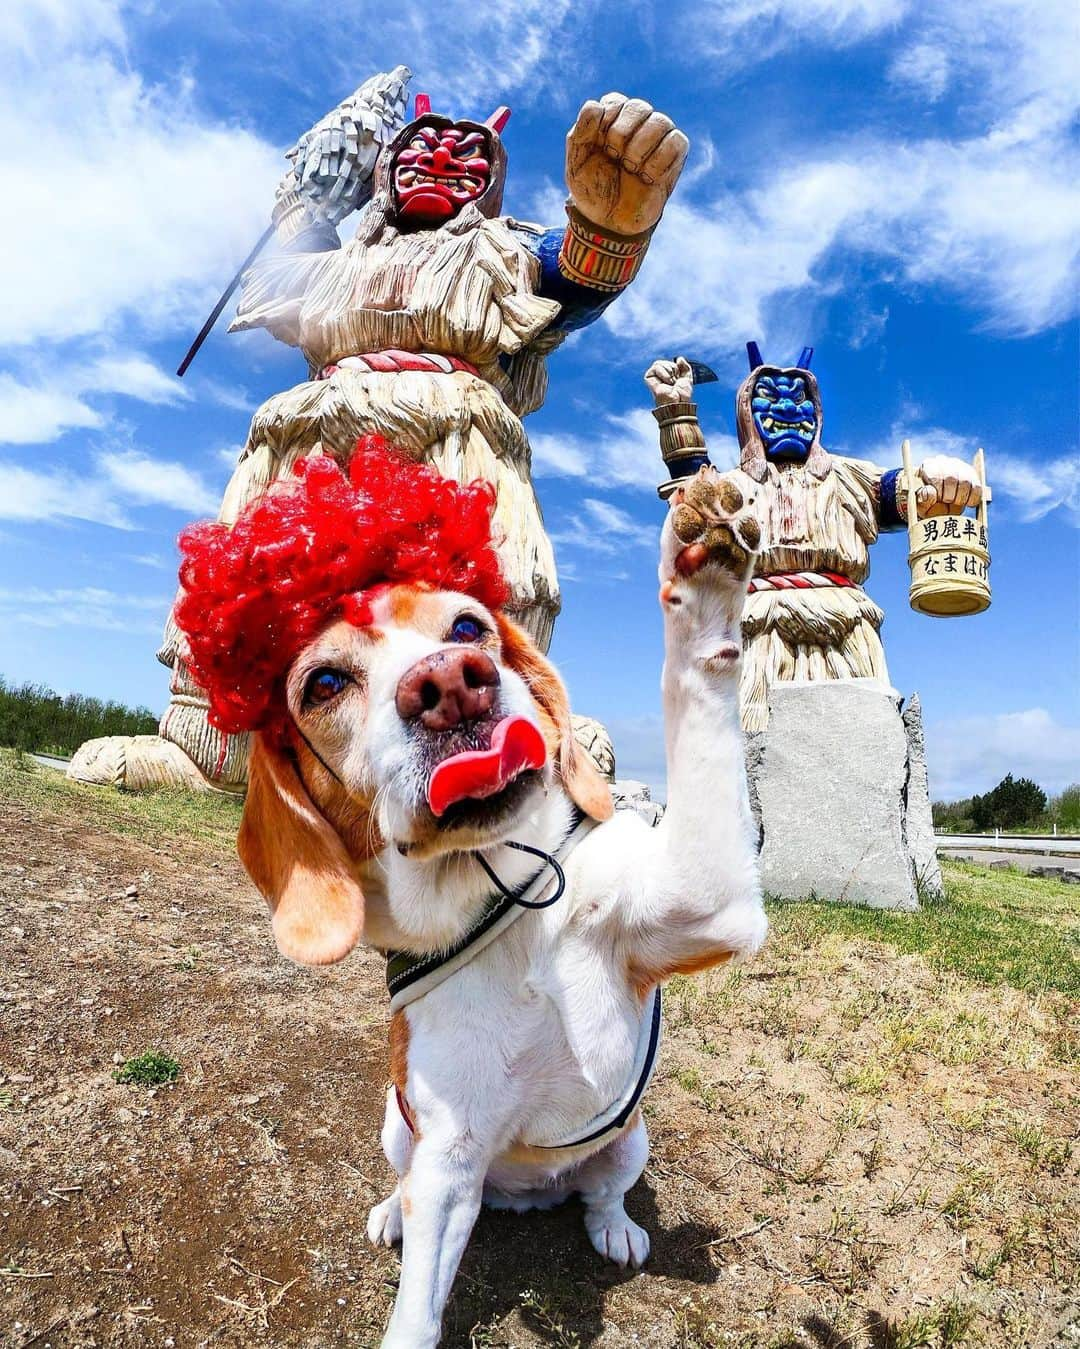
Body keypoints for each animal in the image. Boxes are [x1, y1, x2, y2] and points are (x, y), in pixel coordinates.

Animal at [229, 461, 765, 1338]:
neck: (500, 897)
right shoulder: (447, 1157)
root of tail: (520, 1194)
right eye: (325, 682)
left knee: (602, 1190)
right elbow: (417, 1306)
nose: (449, 683)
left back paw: (614, 1225)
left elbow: (699, 680)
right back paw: (394, 1212)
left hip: (633, 1137)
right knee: (412, 1189)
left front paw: (708, 569)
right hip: (398, 1125)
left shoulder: (706, 897)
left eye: (469, 626)